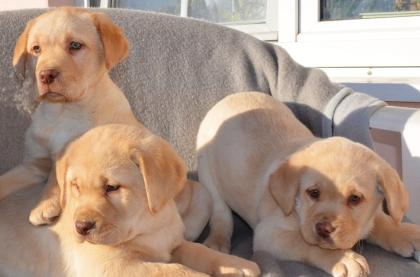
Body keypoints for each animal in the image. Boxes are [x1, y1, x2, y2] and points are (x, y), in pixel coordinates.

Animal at [0, 6, 210, 237]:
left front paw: (44, 205)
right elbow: (7, 178)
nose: (46, 75)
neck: (61, 111)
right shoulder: (33, 164)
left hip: (200, 200)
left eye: (75, 45)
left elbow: (56, 176)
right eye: (36, 49)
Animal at [0, 123, 260, 276]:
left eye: (112, 188)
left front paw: (240, 264)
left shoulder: (172, 243)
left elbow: (199, 251)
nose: (81, 227)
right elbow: (175, 271)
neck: (146, 228)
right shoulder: (112, 266)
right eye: (75, 186)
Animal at [197, 92, 420, 276]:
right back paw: (217, 242)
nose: (324, 229)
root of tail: (226, 99)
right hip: (207, 172)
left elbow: (384, 221)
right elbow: (305, 244)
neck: (297, 208)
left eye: (355, 199)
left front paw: (406, 233)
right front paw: (344, 258)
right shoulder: (268, 235)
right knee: (221, 216)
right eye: (313, 193)